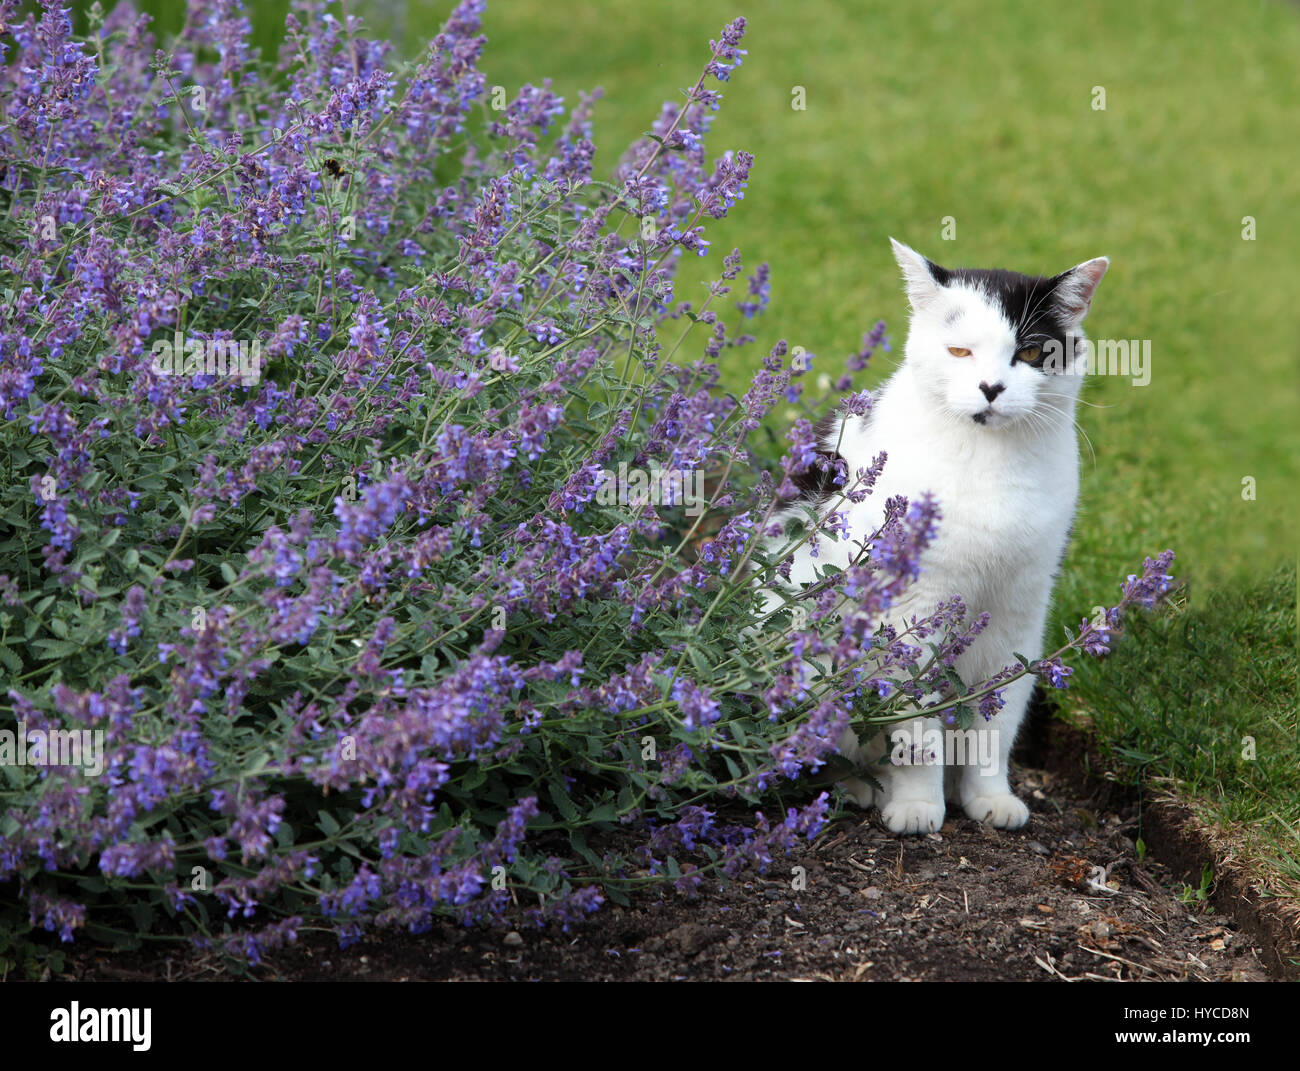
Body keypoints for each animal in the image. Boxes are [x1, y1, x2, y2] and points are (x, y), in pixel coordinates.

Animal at [759, 240, 1107, 837]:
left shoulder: (1017, 614)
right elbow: (916, 732)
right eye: (960, 351)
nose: (991, 388)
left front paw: (990, 797)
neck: (990, 462)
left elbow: (996, 721)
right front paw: (918, 806)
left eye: (1031, 353)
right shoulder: (912, 613)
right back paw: (854, 787)